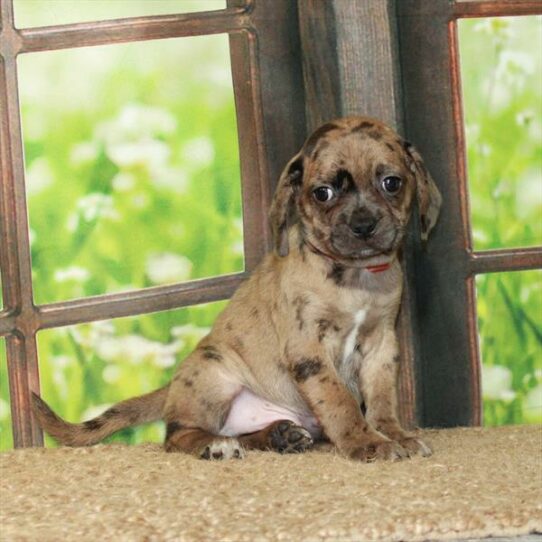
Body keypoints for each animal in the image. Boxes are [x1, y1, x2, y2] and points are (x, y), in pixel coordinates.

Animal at [31, 116, 442, 464]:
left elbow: (381, 400)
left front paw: (394, 434)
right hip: (215, 378)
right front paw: (365, 442)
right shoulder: (308, 348)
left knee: (245, 433)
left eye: (392, 183)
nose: (363, 225)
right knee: (176, 436)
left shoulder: (381, 345)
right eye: (322, 193)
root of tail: (172, 386)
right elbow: (340, 401)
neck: (356, 277)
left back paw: (279, 436)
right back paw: (215, 445)